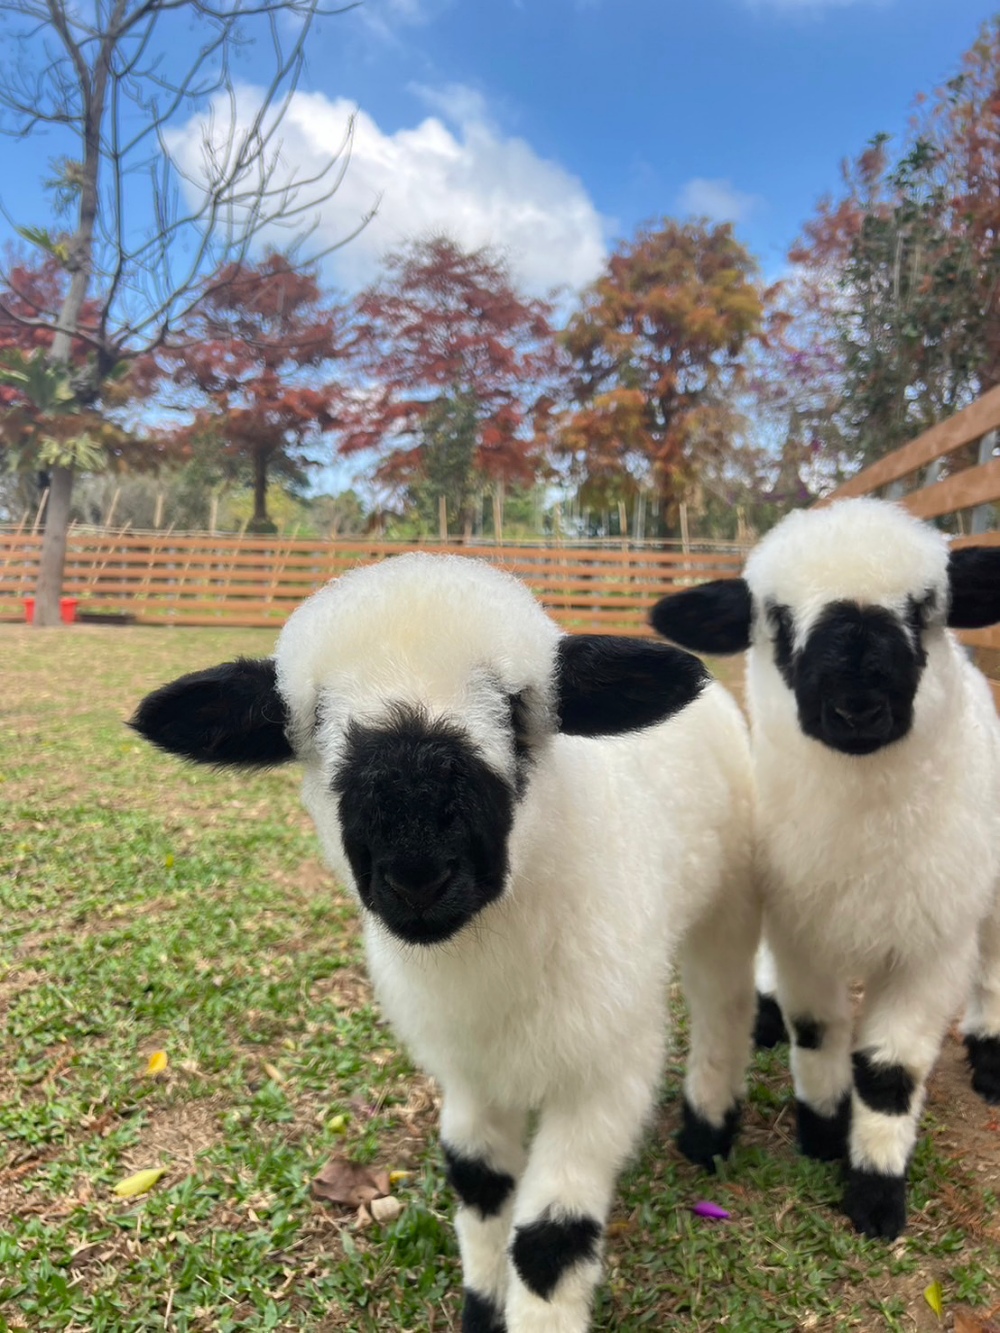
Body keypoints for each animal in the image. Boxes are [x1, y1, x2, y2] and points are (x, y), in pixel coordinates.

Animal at [131, 551, 757, 1333]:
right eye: (312, 720)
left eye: (517, 709)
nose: (417, 871)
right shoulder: (468, 1074)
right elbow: (479, 1186)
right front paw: (483, 1307)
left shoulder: (606, 1071)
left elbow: (549, 1240)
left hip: (725, 901)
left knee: (722, 1002)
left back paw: (709, 1130)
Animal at [650, 498, 1000, 1237]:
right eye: (779, 620)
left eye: (925, 608)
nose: (857, 704)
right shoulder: (801, 929)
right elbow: (816, 1032)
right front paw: (821, 1132)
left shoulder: (931, 950)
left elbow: (890, 1071)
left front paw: (874, 1193)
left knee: (990, 963)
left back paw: (990, 1057)